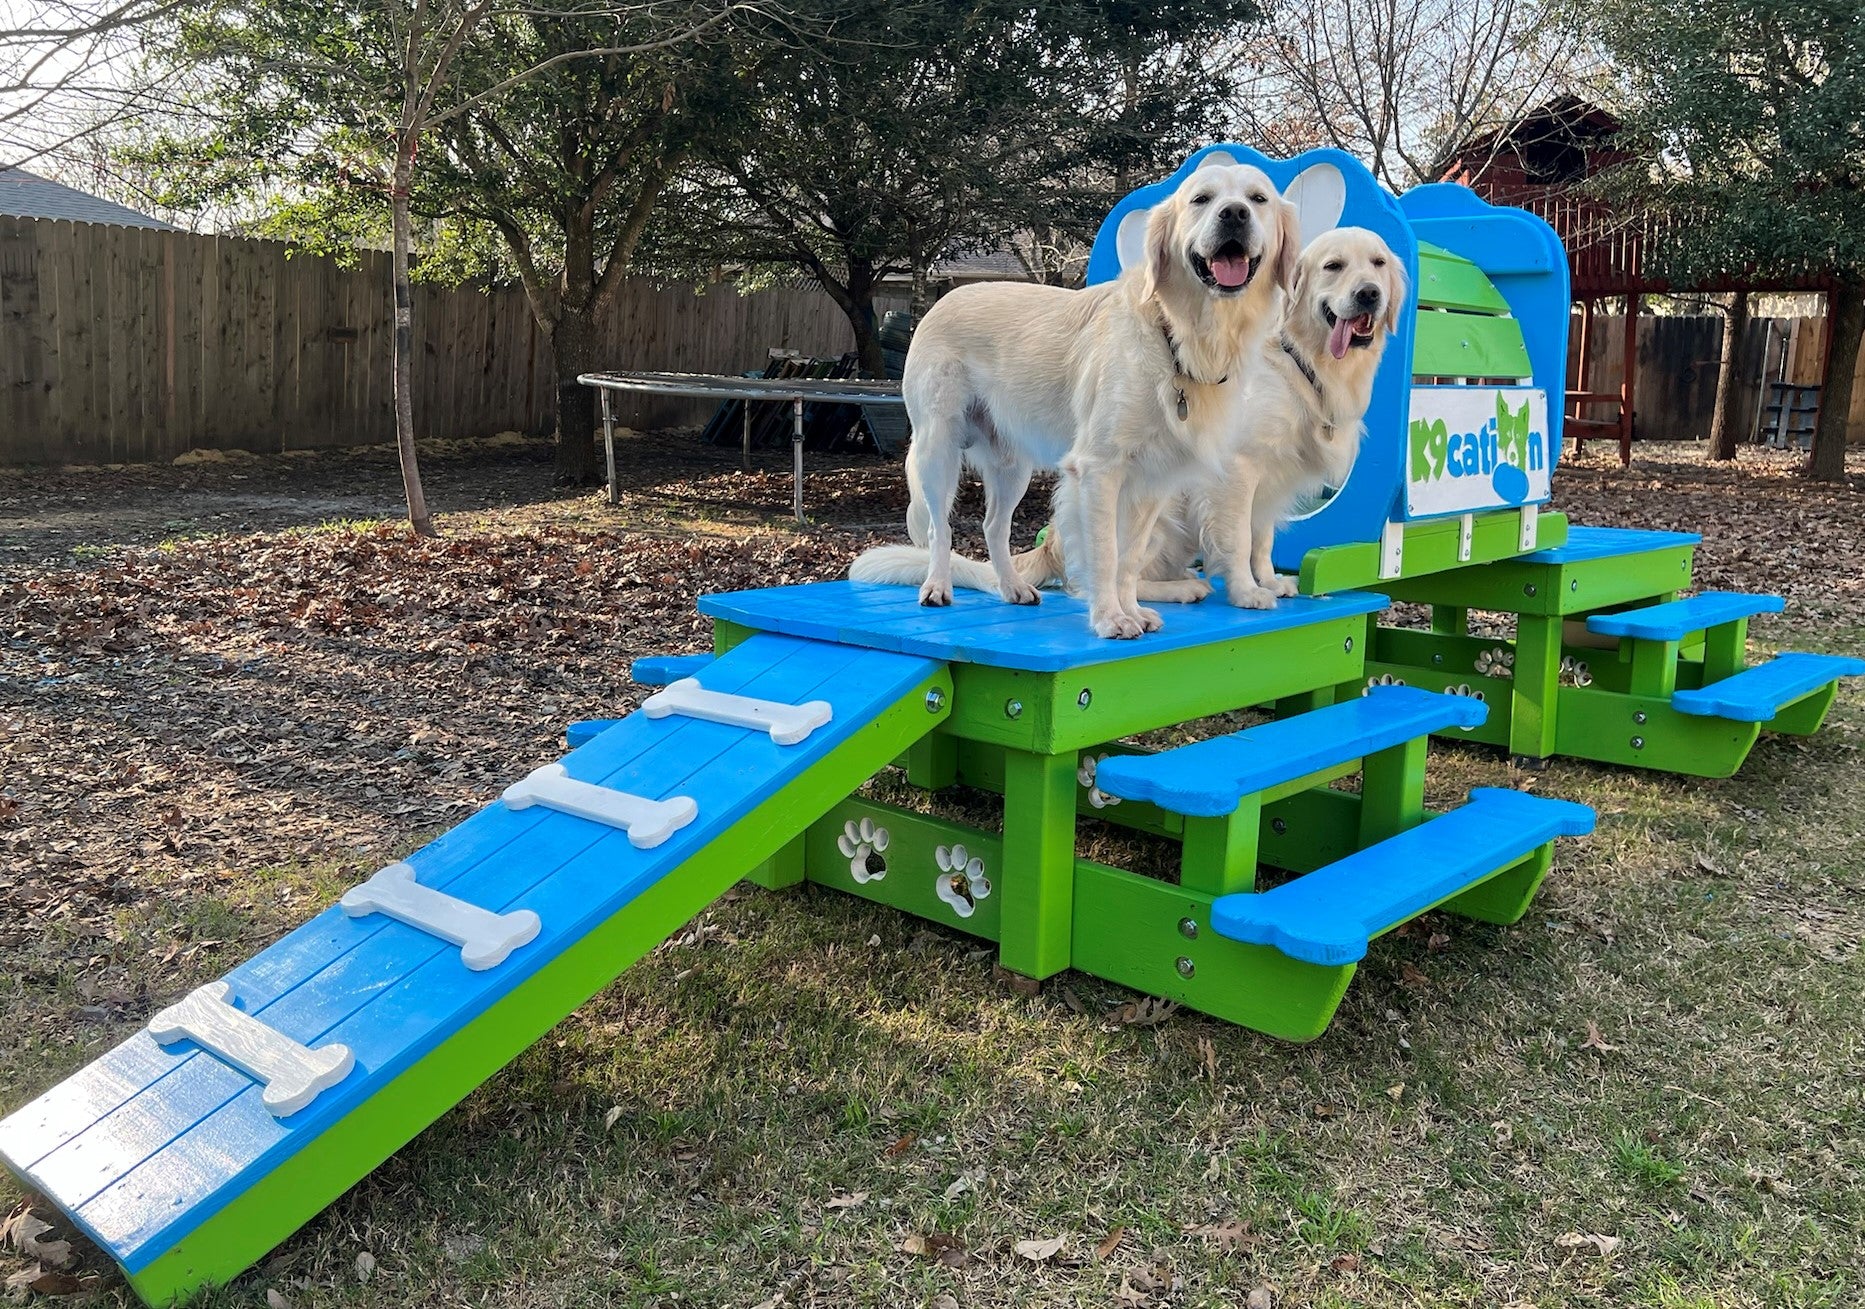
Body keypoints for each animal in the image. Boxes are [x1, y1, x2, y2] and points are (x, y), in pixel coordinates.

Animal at [854, 161, 1298, 645]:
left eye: (1258, 199)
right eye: (1201, 199)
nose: (1234, 214)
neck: (1179, 335)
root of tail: (942, 300)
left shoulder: (1153, 483)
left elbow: (1129, 558)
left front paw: (1132, 611)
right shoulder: (1099, 470)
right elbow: (1105, 554)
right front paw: (1110, 619)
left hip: (1013, 468)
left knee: (994, 527)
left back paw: (1012, 587)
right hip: (938, 449)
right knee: (940, 528)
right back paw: (937, 586)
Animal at [884, 226, 1402, 611]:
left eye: (1377, 263)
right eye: (1333, 266)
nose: (1369, 295)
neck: (1300, 360)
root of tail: (938, 303)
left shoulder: (1269, 482)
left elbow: (1262, 540)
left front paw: (1269, 581)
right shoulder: (1236, 471)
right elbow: (1237, 539)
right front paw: (1247, 592)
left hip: (1013, 467)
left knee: (996, 528)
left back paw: (1014, 586)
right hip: (939, 450)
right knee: (947, 530)